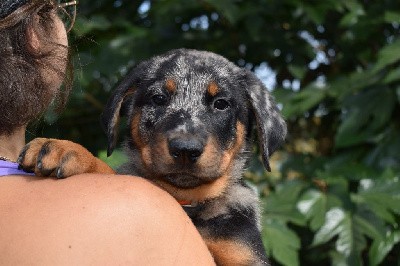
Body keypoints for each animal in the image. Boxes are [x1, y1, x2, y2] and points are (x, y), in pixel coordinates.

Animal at [19, 48, 288, 264]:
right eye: (158, 99)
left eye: (221, 104)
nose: (185, 149)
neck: (186, 202)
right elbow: (113, 172)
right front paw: (67, 149)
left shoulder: (242, 252)